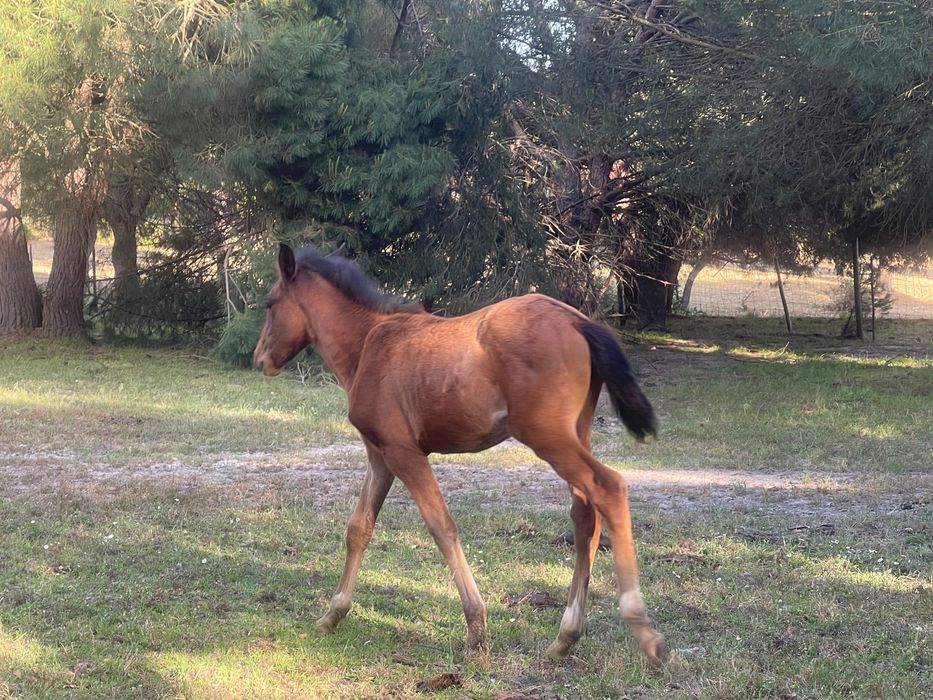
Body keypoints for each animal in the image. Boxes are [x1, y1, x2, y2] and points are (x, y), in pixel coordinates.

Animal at [253, 244, 666, 665]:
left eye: (270, 303)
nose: (260, 359)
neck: (368, 343)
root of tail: (578, 321)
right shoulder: (379, 457)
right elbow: (359, 528)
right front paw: (332, 614)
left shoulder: (404, 454)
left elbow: (442, 527)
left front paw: (476, 629)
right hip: (576, 434)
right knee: (585, 517)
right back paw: (566, 636)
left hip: (548, 438)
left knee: (609, 487)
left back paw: (644, 630)